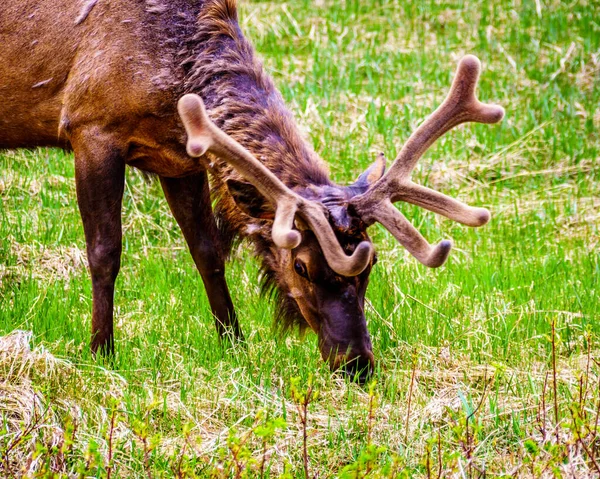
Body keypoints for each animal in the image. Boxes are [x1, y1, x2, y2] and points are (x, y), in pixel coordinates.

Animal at [0, 0, 502, 382]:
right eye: (301, 266)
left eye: (370, 267)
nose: (358, 364)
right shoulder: (90, 126)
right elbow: (105, 252)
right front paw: (101, 353)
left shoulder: (178, 157)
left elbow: (207, 252)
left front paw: (234, 342)